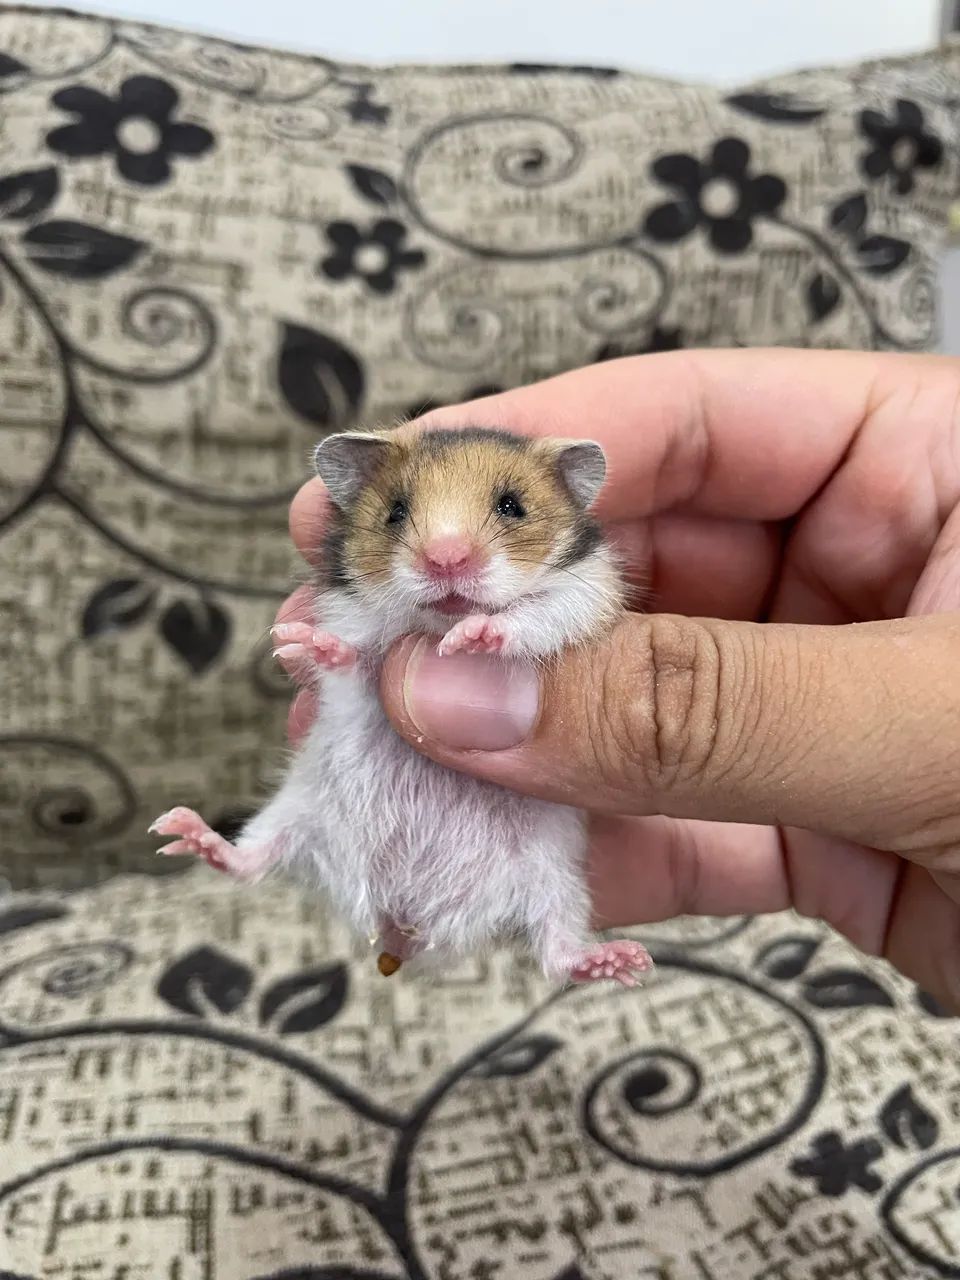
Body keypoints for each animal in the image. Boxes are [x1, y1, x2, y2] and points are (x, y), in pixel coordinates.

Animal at [150, 424, 652, 988]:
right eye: (394, 511)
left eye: (512, 506)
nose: (446, 559)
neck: (434, 621)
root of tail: (405, 927)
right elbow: (354, 667)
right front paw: (300, 643)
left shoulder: (584, 599)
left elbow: (529, 618)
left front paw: (471, 638)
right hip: (297, 813)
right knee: (250, 860)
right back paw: (184, 833)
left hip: (556, 878)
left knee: (557, 951)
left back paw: (624, 960)